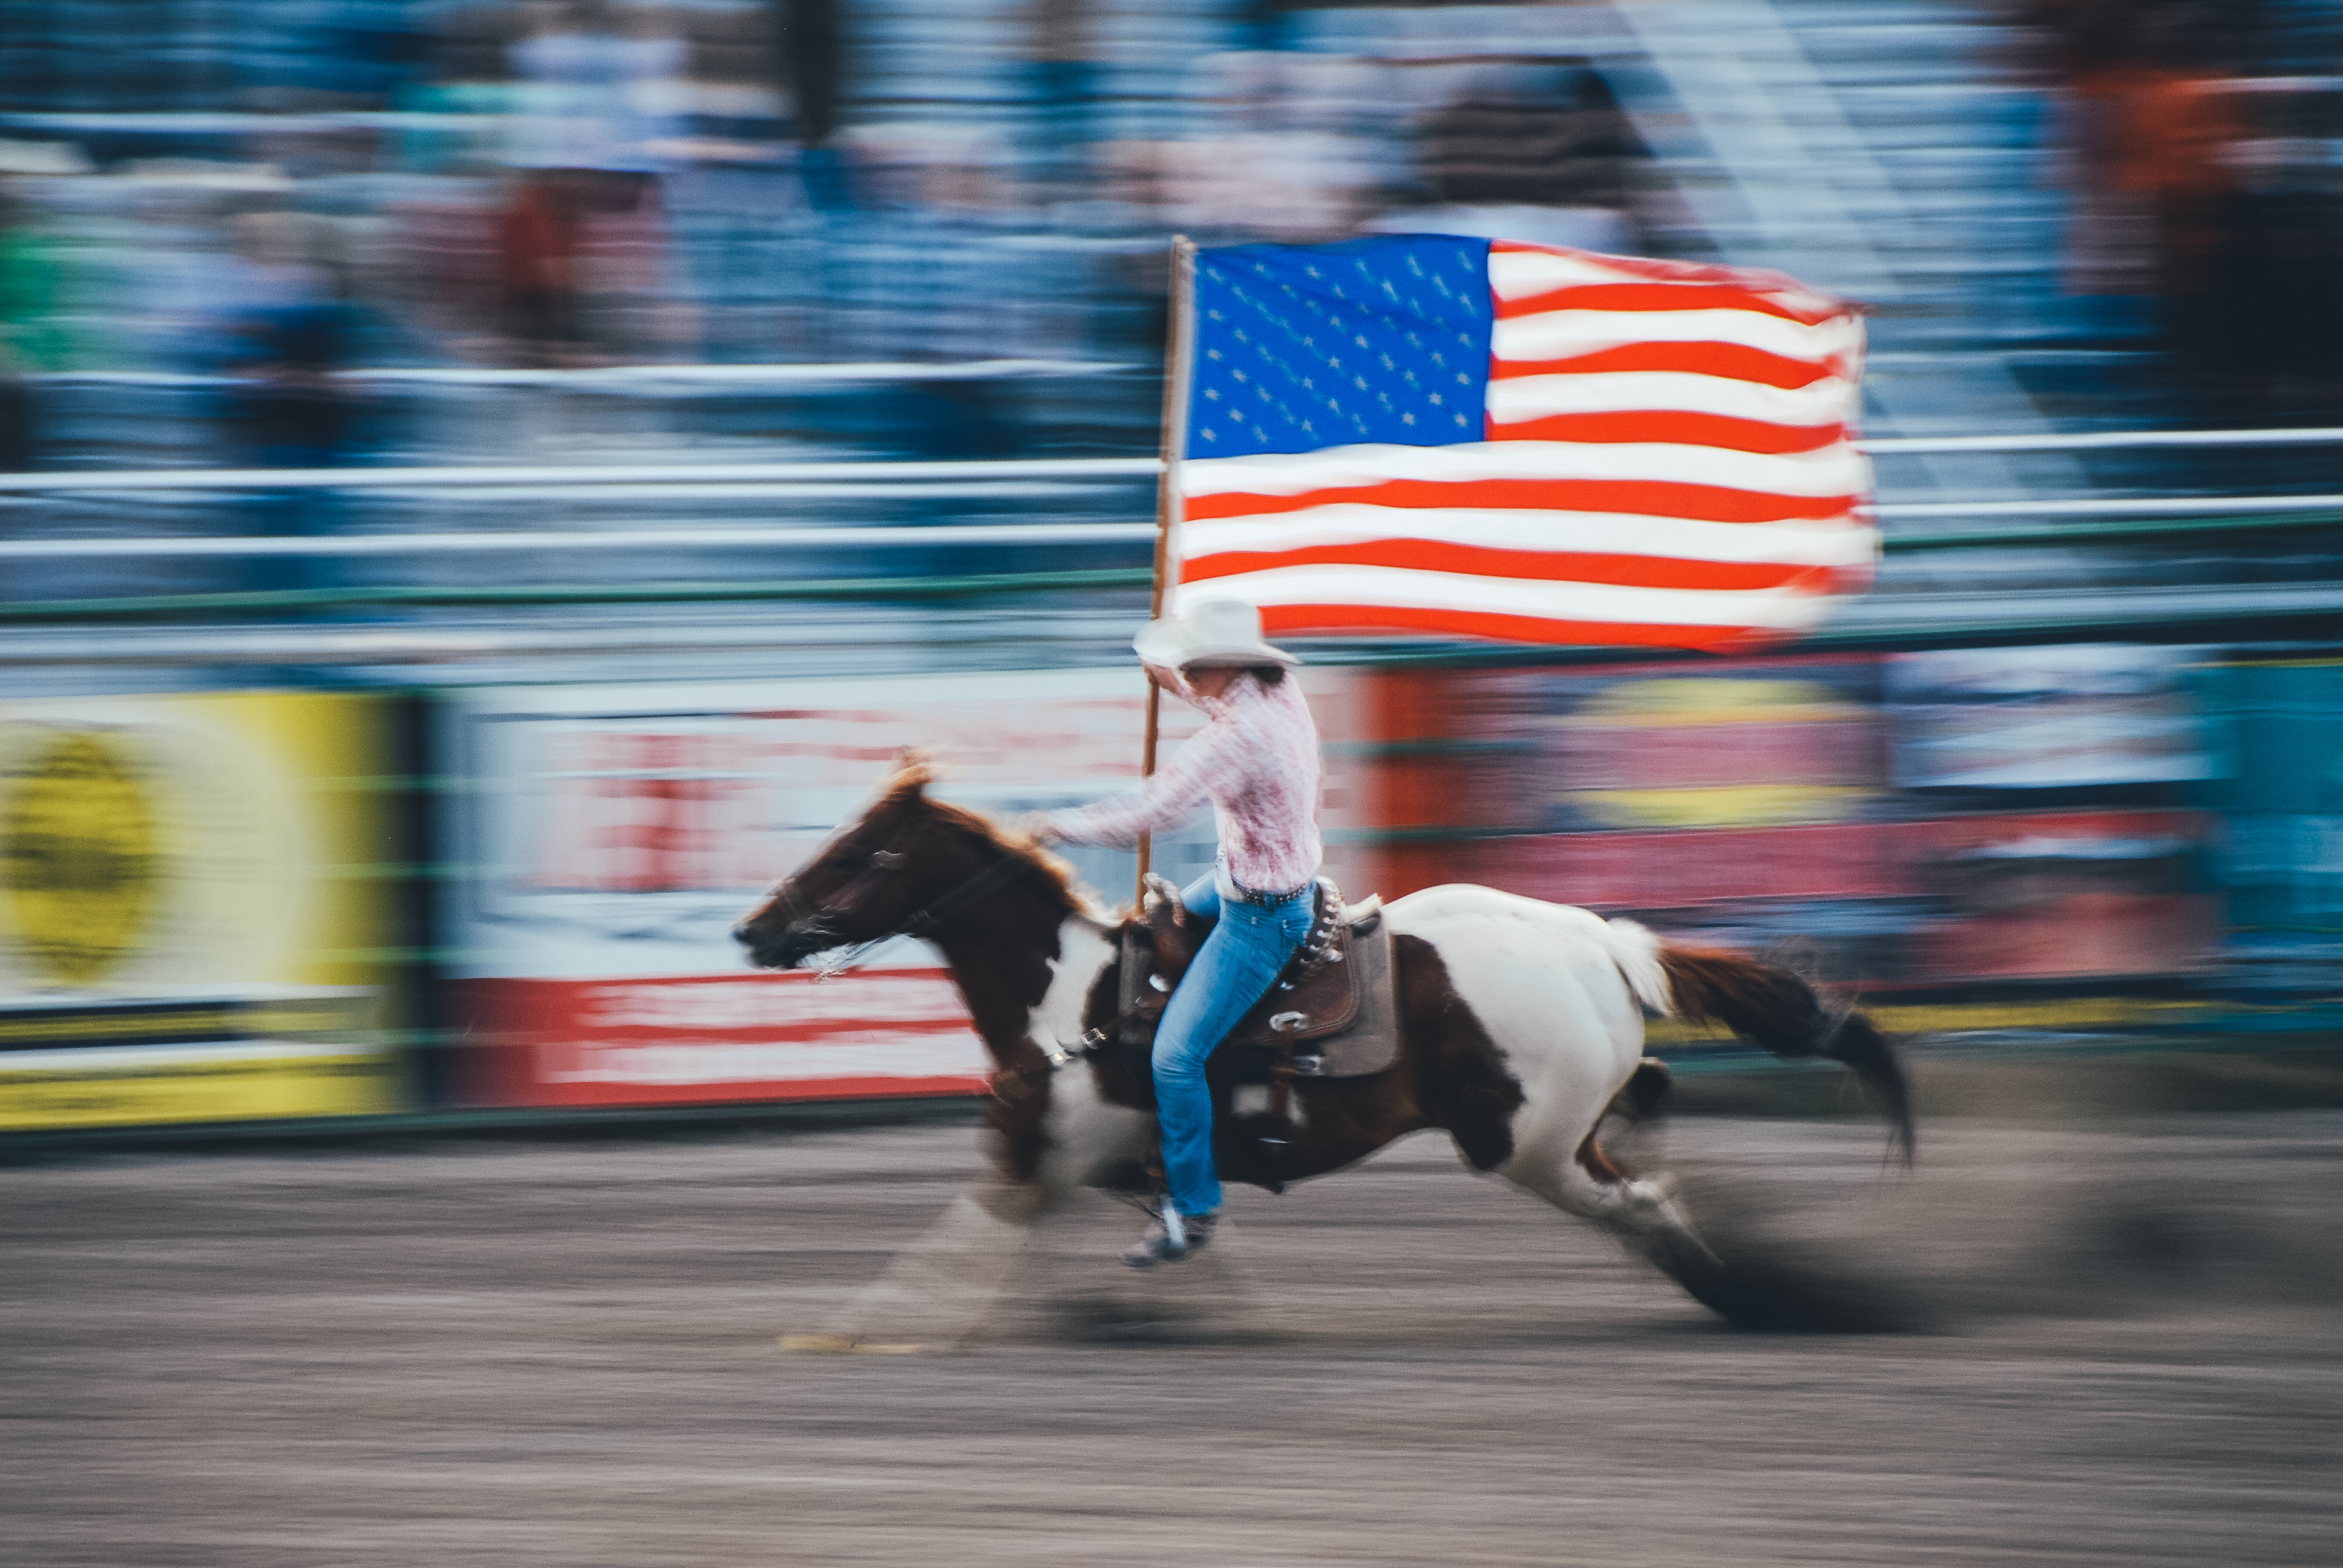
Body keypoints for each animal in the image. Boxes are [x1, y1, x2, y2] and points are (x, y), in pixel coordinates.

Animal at [740, 759, 1912, 1331]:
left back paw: (1752, 1299)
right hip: (1560, 1128)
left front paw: (852, 1331)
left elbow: (946, 1254)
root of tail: (1602, 942)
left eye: (855, 852)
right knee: (1650, 1132)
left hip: (1526, 1145)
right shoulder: (1106, 1168)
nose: (754, 931)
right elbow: (1191, 1236)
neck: (1069, 1003)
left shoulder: (1033, 1163)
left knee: (1645, 1202)